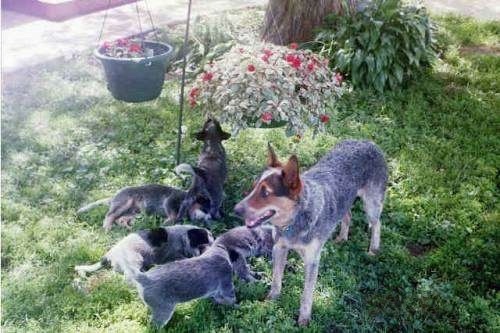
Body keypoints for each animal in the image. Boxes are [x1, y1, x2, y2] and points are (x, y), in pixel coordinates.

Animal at [74, 223, 213, 280]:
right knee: (130, 275)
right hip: (135, 259)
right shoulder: (174, 255)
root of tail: (109, 255)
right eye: (204, 244)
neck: (183, 238)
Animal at [126, 224, 274, 326]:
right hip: (163, 311)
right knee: (154, 325)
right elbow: (233, 296)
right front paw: (243, 306)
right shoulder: (227, 282)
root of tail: (144, 278)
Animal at [232, 140, 388, 324]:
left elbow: (306, 294)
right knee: (347, 215)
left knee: (377, 223)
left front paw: (304, 318)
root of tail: (368, 142)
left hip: (371, 204)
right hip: (345, 200)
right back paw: (342, 237)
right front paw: (272, 299)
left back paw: (373, 250)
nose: (236, 209)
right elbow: (276, 279)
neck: (295, 221)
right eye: (253, 187)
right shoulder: (279, 248)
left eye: (265, 192)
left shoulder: (312, 260)